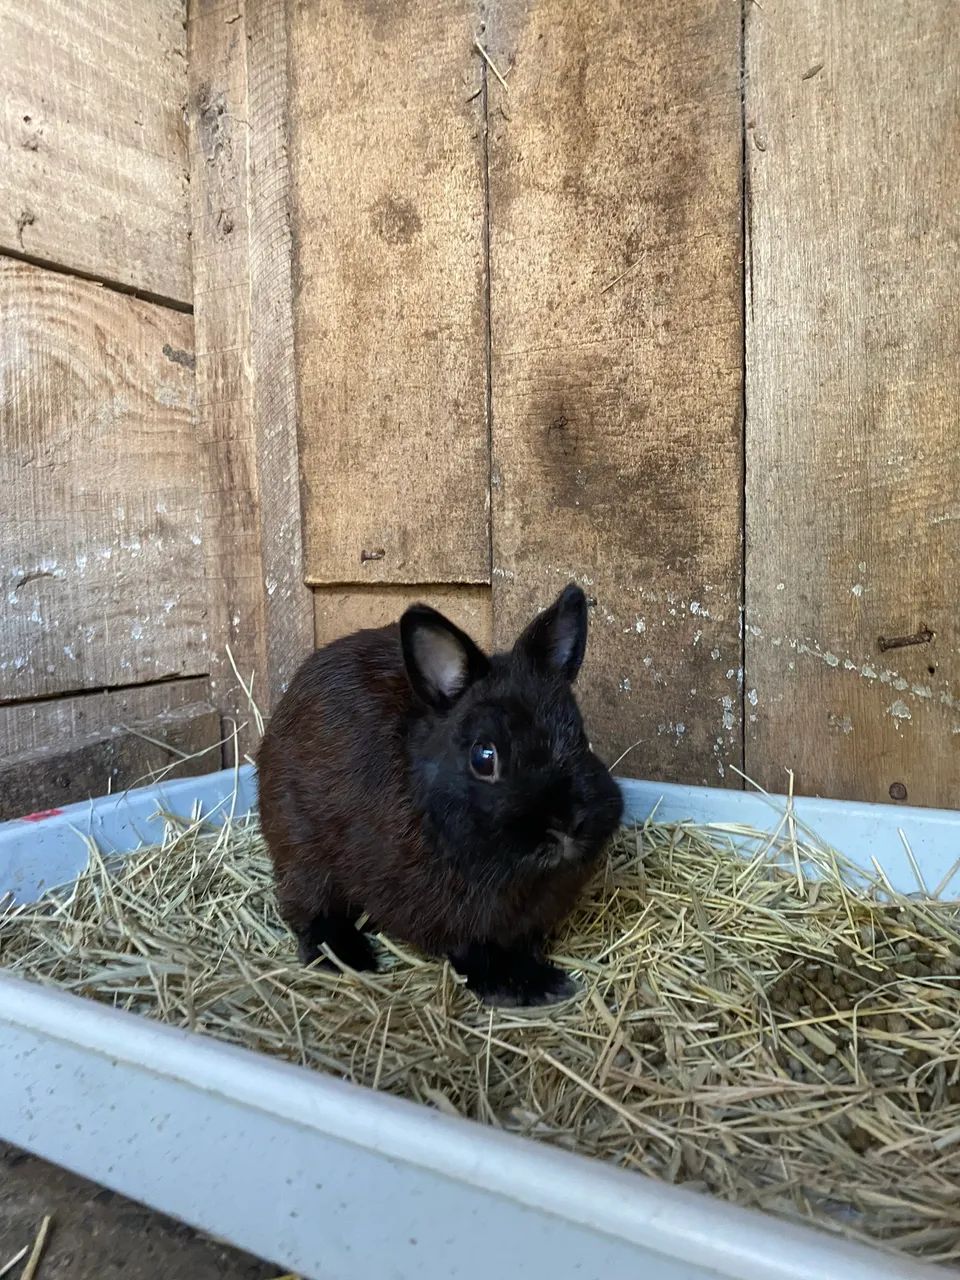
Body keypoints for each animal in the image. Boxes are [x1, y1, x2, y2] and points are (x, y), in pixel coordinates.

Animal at [257, 583, 624, 1006]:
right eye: (484, 757)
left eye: (580, 736)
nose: (565, 824)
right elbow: (473, 953)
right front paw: (532, 985)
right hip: (301, 853)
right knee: (308, 910)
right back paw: (347, 958)